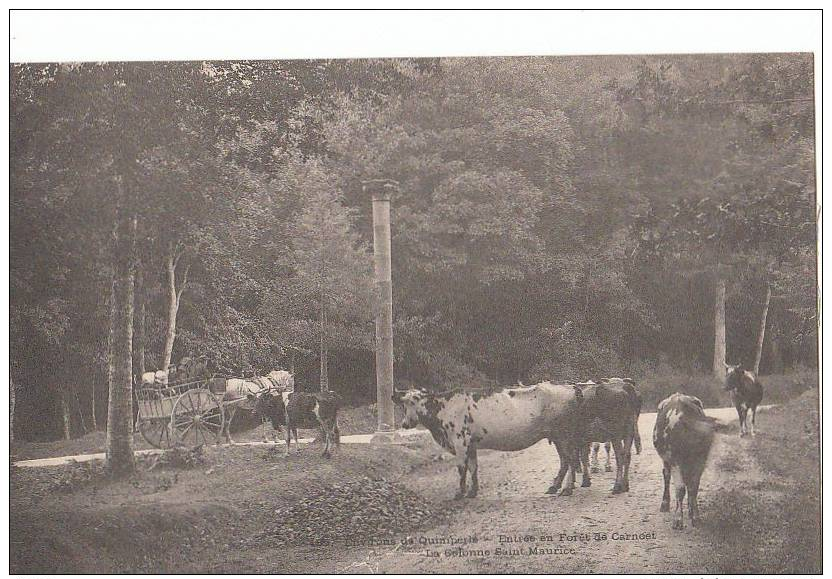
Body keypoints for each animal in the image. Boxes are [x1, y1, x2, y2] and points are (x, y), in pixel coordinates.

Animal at [392, 382, 580, 500]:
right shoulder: (471, 444)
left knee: (570, 459)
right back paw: (555, 487)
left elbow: (461, 468)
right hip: (558, 437)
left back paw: (567, 489)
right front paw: (472, 492)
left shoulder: (459, 441)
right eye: (404, 403)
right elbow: (473, 467)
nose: (406, 423)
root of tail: (570, 388)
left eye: (417, 400)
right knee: (564, 461)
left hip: (565, 435)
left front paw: (460, 493)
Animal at [648, 394, 716, 532]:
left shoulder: (700, 462)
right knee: (666, 475)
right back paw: (665, 504)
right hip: (666, 460)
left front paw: (695, 516)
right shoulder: (675, 461)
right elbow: (680, 489)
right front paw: (678, 519)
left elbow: (693, 487)